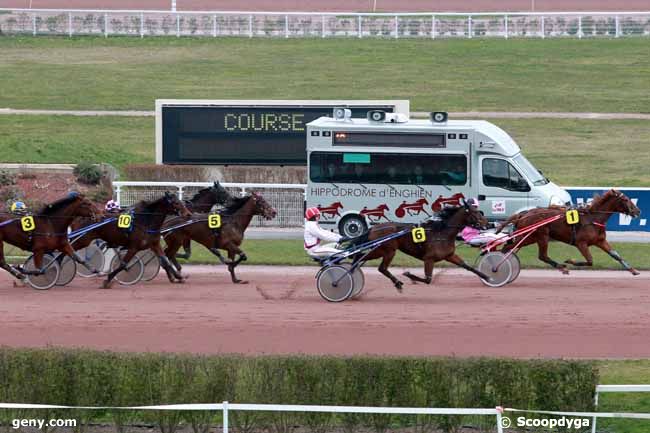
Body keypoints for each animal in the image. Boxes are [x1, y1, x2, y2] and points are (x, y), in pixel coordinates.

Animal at [496, 188, 636, 274]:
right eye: (625, 199)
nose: (637, 211)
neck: (593, 218)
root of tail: (523, 214)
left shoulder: (600, 241)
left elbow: (615, 255)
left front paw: (632, 270)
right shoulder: (581, 243)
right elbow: (590, 261)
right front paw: (569, 261)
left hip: (530, 237)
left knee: (510, 247)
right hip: (540, 236)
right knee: (540, 255)